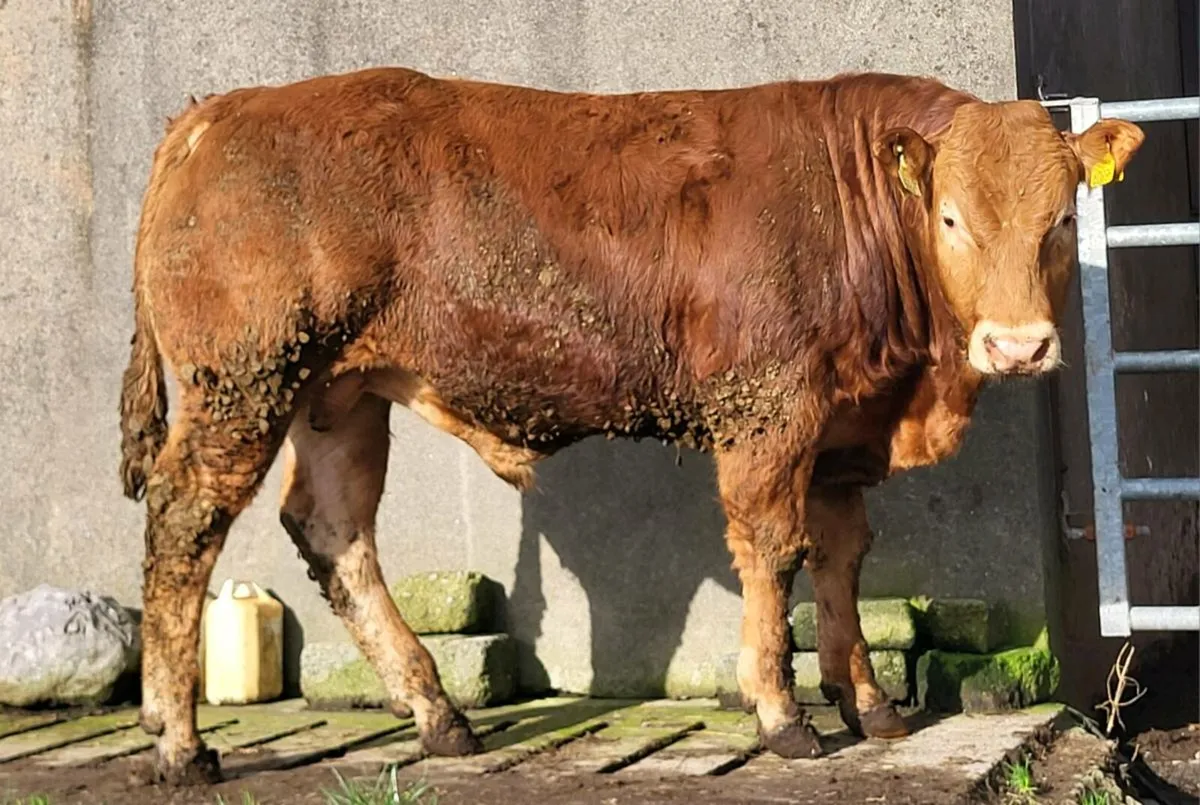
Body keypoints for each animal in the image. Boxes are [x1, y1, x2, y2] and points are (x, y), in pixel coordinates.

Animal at [117, 66, 1144, 784]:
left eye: (1062, 219)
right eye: (952, 217)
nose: (1017, 346)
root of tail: (214, 114)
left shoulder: (840, 434)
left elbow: (842, 558)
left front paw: (868, 703)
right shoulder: (769, 412)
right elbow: (773, 551)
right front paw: (784, 717)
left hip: (339, 393)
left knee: (334, 530)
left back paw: (438, 715)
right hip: (239, 385)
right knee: (185, 523)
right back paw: (180, 742)